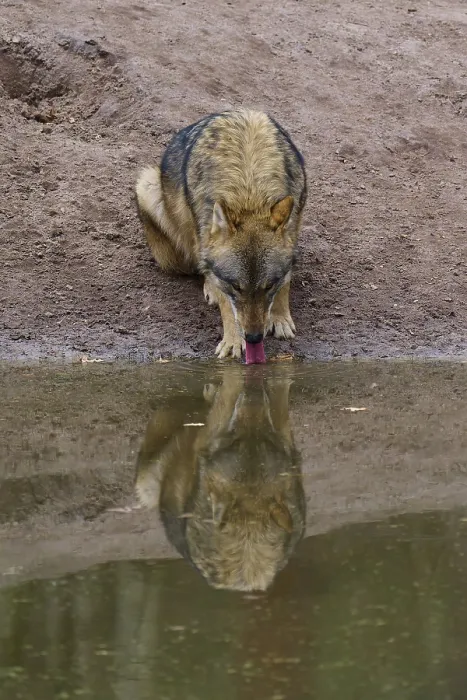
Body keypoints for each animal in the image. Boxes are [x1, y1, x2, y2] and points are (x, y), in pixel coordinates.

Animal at [135, 109, 307, 363]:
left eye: (268, 286)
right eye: (235, 286)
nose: (254, 338)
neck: (249, 191)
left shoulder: (294, 223)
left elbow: (285, 281)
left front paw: (280, 318)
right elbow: (225, 300)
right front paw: (233, 339)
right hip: (148, 188)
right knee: (201, 263)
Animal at [135, 366, 306, 592]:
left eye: (266, 439)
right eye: (236, 440)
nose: (254, 391)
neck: (248, 538)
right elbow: (232, 387)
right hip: (147, 482)